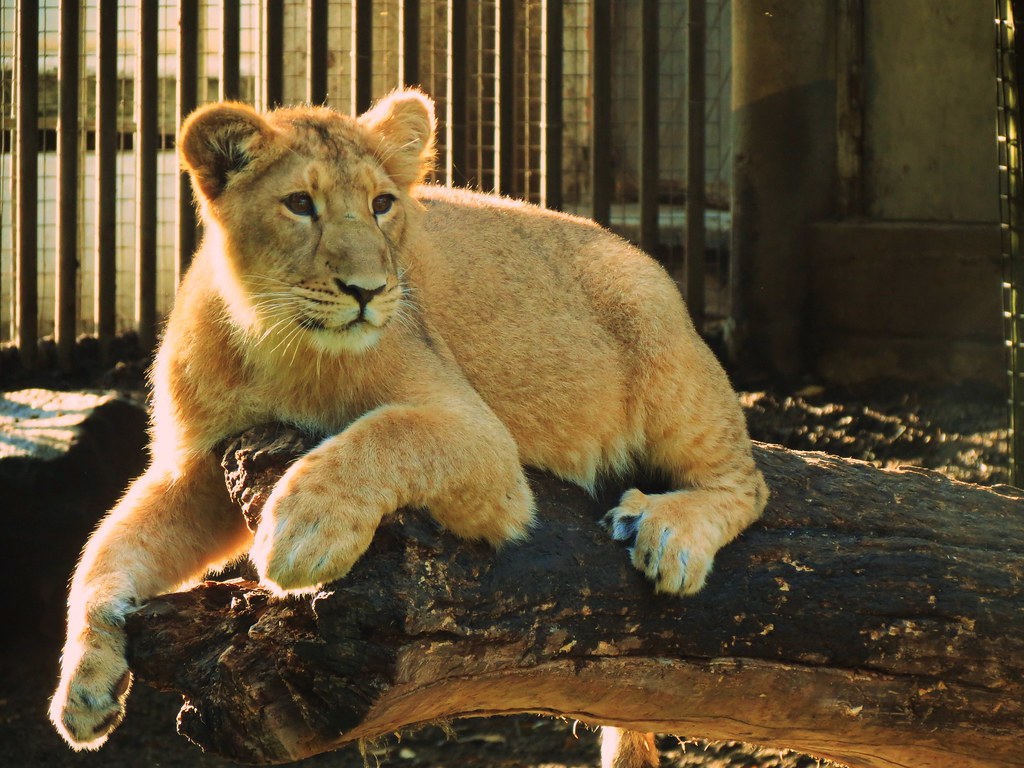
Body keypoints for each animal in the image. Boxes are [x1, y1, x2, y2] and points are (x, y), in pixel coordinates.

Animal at [50, 89, 767, 768]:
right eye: (300, 203)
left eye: (382, 204)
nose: (367, 289)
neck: (279, 345)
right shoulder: (194, 469)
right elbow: (105, 550)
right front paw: (83, 687)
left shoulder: (483, 441)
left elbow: (385, 434)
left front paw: (303, 530)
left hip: (656, 337)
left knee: (749, 484)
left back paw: (667, 532)